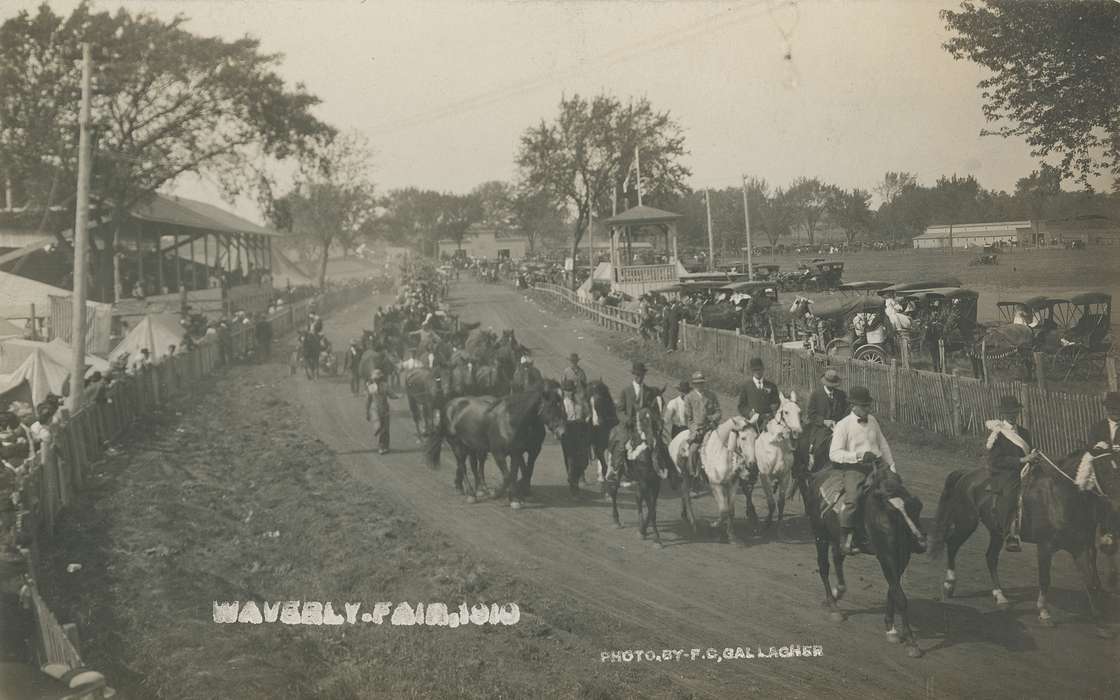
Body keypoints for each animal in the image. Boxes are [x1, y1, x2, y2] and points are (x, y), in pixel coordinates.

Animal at [427, 376, 568, 508]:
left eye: (562, 404)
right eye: (552, 405)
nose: (562, 432)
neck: (509, 421)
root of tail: (449, 405)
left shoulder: (518, 452)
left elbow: (515, 473)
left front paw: (515, 499)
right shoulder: (498, 453)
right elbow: (507, 476)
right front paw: (496, 494)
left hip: (472, 446)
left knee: (474, 465)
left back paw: (477, 489)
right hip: (457, 444)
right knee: (463, 466)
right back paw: (472, 494)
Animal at [748, 387, 801, 528]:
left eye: (799, 412)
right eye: (786, 412)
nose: (797, 432)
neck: (777, 445)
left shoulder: (785, 476)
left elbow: (781, 502)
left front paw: (780, 523)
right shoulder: (764, 476)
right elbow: (771, 503)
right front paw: (767, 522)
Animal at [797, 459, 927, 654]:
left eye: (916, 508)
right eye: (893, 512)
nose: (920, 542)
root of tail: (816, 477)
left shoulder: (902, 558)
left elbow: (893, 590)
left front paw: (891, 629)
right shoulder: (886, 556)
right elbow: (900, 597)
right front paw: (911, 642)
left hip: (836, 538)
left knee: (837, 558)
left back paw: (837, 593)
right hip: (820, 533)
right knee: (824, 566)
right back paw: (834, 607)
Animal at [927, 448, 1120, 640]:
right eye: (1104, 469)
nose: (1115, 504)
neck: (1059, 499)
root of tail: (967, 474)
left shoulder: (1081, 549)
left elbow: (1091, 583)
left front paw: (1101, 624)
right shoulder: (1045, 547)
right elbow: (1045, 579)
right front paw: (1044, 613)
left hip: (997, 532)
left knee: (990, 558)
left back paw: (1000, 596)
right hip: (967, 522)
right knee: (953, 545)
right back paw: (949, 584)